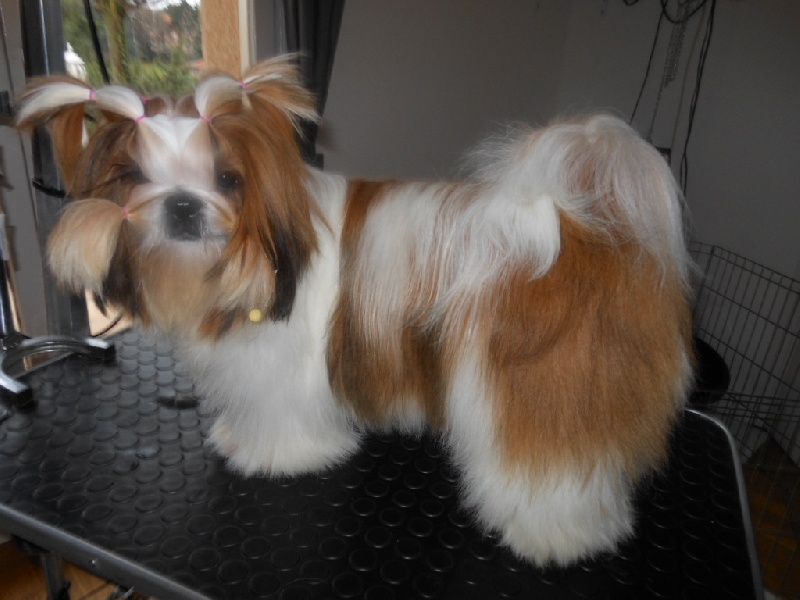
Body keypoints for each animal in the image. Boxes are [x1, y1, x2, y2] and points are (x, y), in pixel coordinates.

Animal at [16, 56, 694, 566]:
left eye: (229, 180)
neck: (265, 260)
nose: (182, 205)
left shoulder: (283, 371)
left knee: (551, 459)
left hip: (538, 385)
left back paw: (555, 535)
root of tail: (582, 226)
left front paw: (275, 455)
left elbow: (284, 419)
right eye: (132, 176)